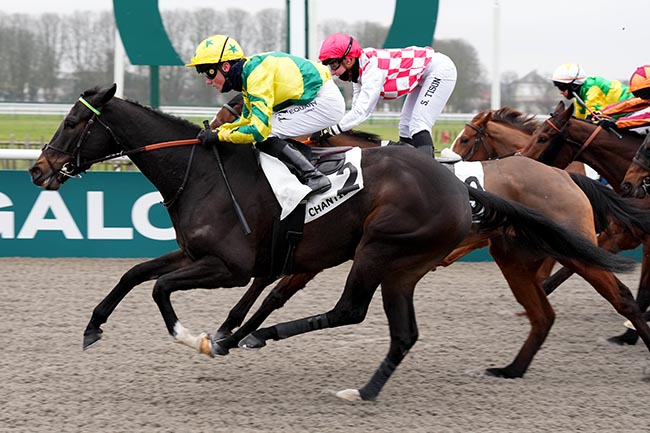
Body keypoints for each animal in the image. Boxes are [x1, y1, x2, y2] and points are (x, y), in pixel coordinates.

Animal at [27, 85, 648, 402]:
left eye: (72, 124)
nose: (38, 169)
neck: (202, 170)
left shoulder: (232, 264)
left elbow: (167, 291)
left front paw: (201, 336)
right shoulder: (221, 255)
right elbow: (135, 274)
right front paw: (94, 327)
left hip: (386, 250)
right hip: (480, 257)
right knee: (521, 315)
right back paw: (504, 370)